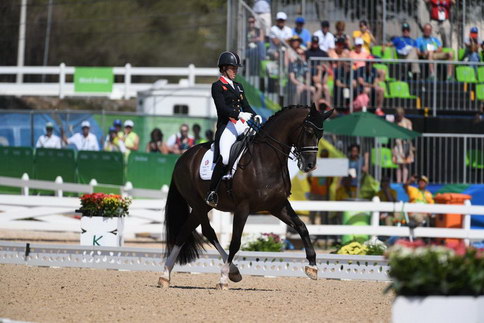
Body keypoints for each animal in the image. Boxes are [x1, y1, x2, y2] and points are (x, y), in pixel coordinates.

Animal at [159, 105, 332, 290]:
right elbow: (235, 241)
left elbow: (302, 227)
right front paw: (223, 278)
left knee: (191, 231)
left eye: (321, 135)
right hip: (198, 204)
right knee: (199, 232)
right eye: (308, 131)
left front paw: (312, 267)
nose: (310, 165)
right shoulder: (243, 207)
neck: (265, 159)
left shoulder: (277, 206)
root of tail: (182, 158)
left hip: (203, 206)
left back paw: (169, 275)